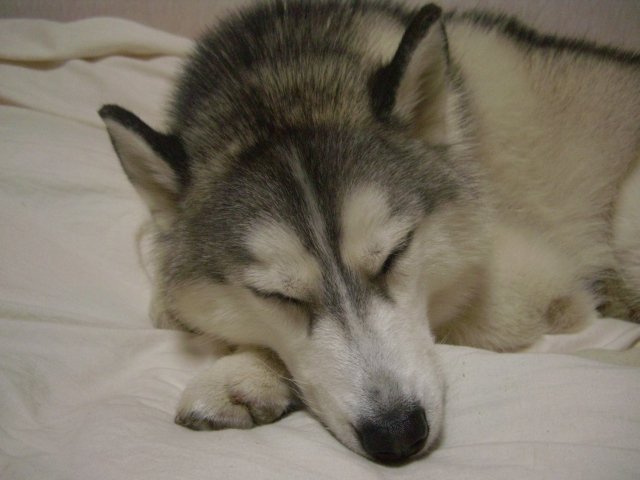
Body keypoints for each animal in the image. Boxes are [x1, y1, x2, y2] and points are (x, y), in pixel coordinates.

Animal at [99, 0, 640, 463]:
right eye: (277, 296)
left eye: (394, 255)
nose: (398, 435)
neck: (282, 75)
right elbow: (170, 302)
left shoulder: (525, 285)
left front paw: (246, 370)